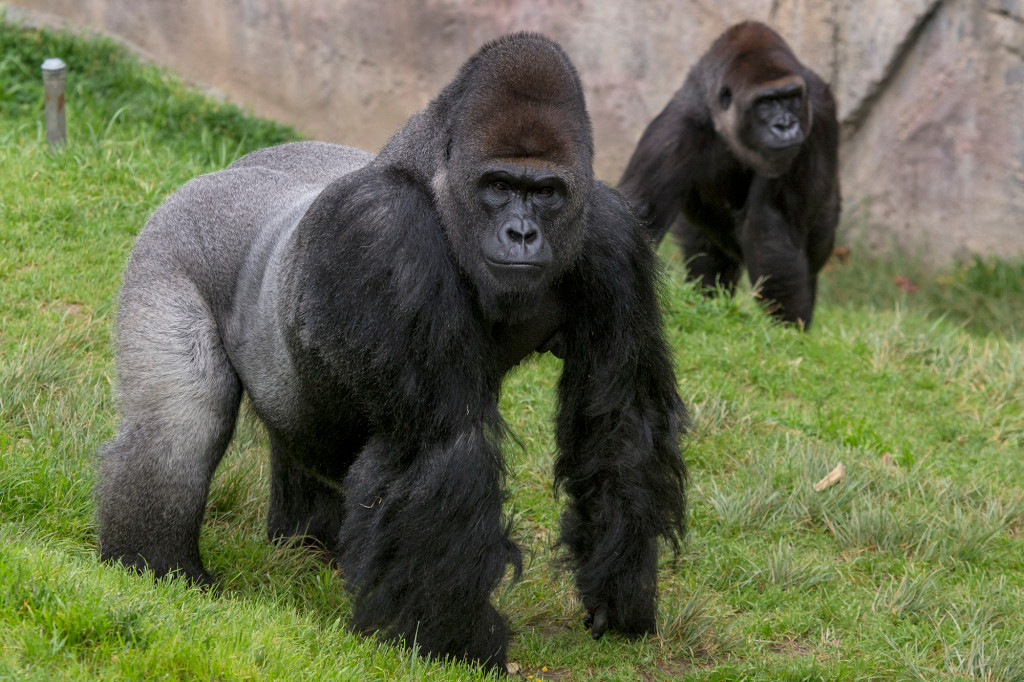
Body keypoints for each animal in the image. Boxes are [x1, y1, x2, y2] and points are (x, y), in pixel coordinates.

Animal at [97, 33, 688, 667]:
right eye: (499, 186)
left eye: (546, 193)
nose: (522, 234)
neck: (436, 179)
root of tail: (232, 169)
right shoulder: (384, 231)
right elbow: (442, 445)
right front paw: (457, 645)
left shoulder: (611, 235)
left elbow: (618, 419)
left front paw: (619, 592)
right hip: (174, 238)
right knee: (180, 427)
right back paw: (156, 567)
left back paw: (301, 544)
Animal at [614, 21, 839, 329]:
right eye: (765, 102)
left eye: (791, 98)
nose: (785, 125)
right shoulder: (673, 130)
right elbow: (640, 209)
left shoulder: (817, 110)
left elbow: (768, 226)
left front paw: (788, 328)